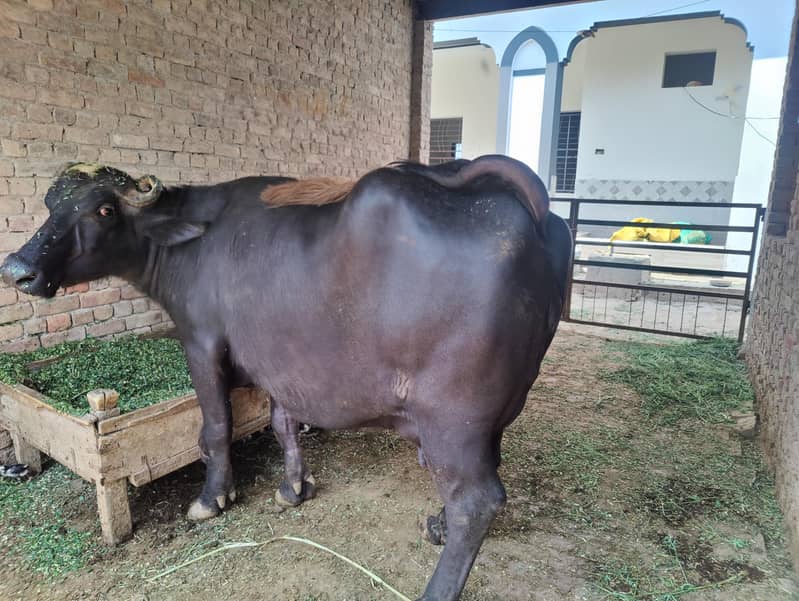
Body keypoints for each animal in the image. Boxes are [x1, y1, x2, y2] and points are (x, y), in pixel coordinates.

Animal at [1, 155, 572, 600]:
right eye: (51, 205)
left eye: (102, 209)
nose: (18, 270)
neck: (193, 242)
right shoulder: (283, 362)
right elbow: (282, 424)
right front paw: (293, 487)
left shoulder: (202, 341)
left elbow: (215, 428)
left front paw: (212, 498)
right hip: (490, 416)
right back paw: (436, 524)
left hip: (454, 416)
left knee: (476, 500)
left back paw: (436, 585)